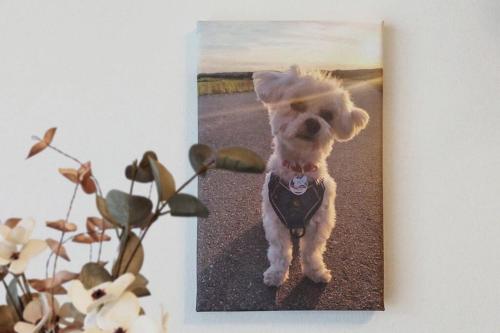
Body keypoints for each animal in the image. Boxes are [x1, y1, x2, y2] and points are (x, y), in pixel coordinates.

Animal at [254, 65, 368, 286]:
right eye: (297, 104)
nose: (314, 123)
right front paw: (276, 274)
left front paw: (315, 271)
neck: (299, 169)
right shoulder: (275, 221)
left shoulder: (319, 221)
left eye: (328, 115)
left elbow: (311, 251)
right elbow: (280, 251)